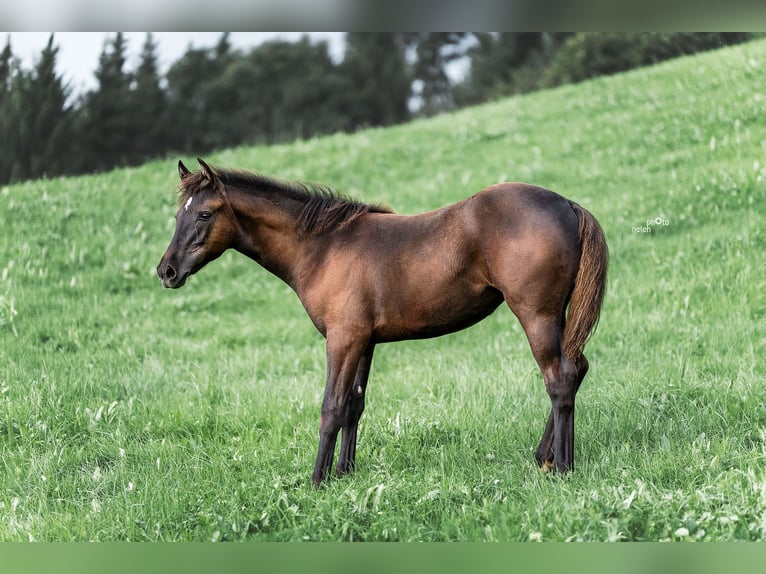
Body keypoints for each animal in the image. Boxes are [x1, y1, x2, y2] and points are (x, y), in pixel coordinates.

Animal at [158, 159, 612, 486]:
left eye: (204, 214)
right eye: (177, 216)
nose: (166, 271)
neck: (324, 246)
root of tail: (567, 204)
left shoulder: (342, 339)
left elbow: (331, 407)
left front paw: (318, 480)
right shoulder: (365, 342)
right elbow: (354, 406)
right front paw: (345, 473)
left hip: (537, 315)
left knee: (559, 378)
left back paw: (561, 467)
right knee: (577, 368)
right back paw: (544, 458)